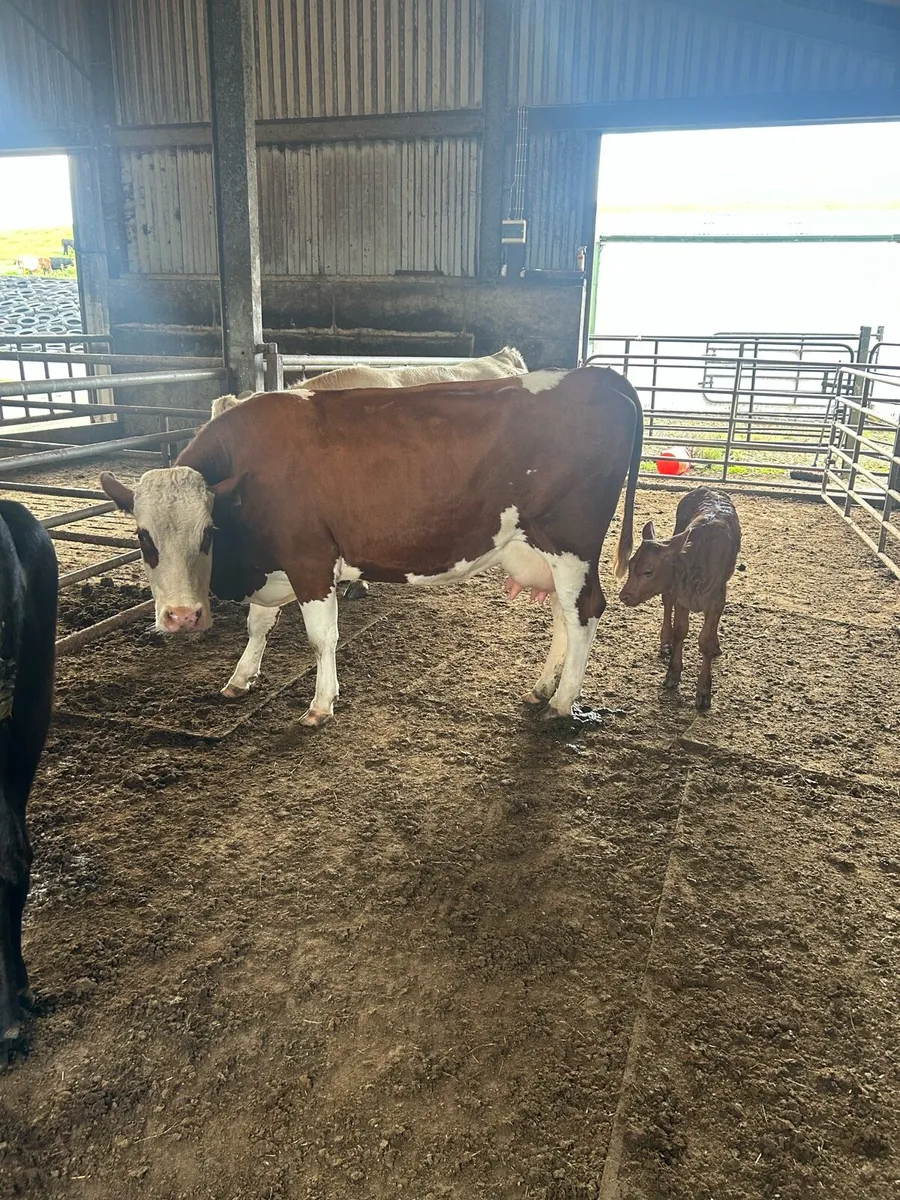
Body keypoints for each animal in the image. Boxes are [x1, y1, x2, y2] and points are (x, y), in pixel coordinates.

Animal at [618, 487, 741, 710]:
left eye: (648, 571)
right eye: (630, 565)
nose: (624, 596)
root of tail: (707, 489)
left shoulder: (717, 598)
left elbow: (706, 640)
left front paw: (703, 691)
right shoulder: (681, 595)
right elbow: (680, 631)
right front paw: (673, 673)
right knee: (667, 604)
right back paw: (665, 643)